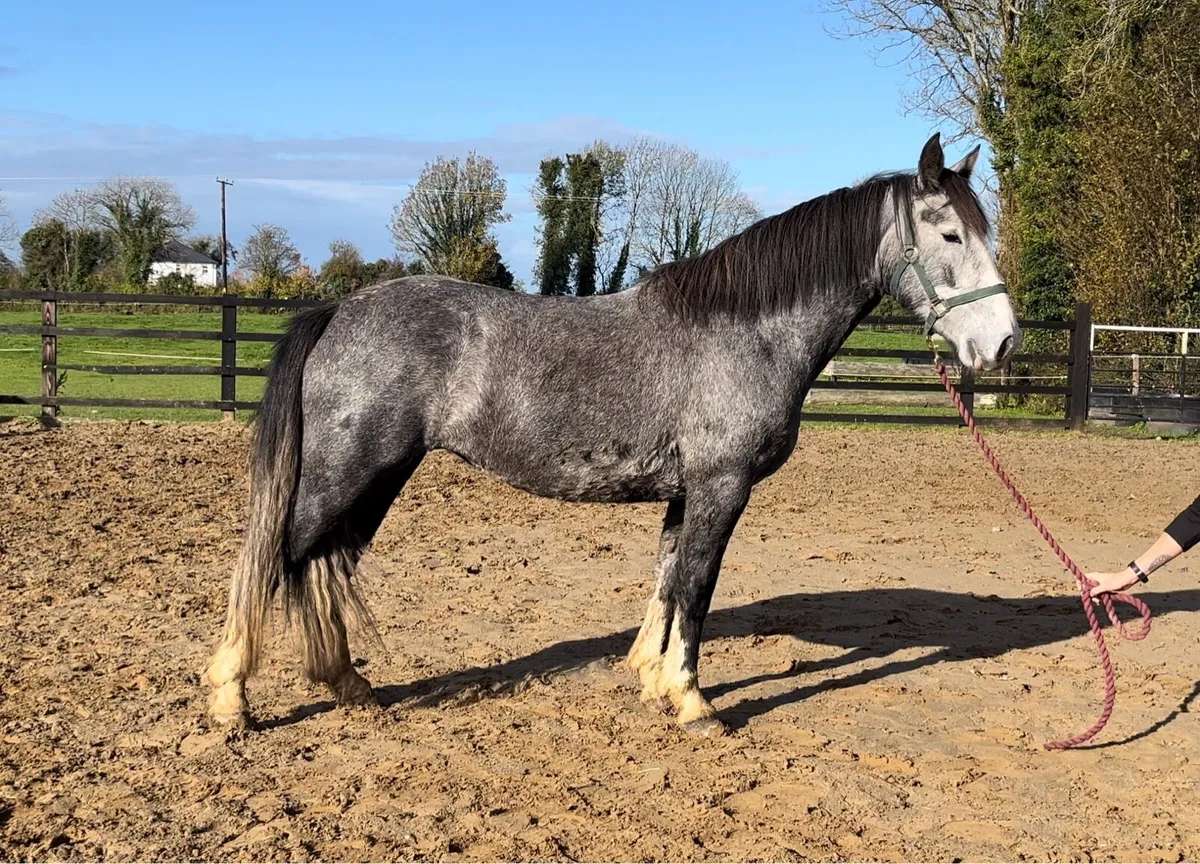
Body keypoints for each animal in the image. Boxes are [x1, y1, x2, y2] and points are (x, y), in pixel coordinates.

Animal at [202, 133, 1020, 735]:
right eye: (951, 232)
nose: (1003, 344)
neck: (744, 331)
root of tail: (339, 309)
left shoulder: (687, 492)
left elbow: (666, 579)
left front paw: (651, 679)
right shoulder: (722, 486)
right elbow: (697, 587)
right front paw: (692, 701)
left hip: (376, 477)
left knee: (321, 563)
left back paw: (348, 685)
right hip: (347, 471)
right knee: (274, 555)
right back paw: (231, 701)